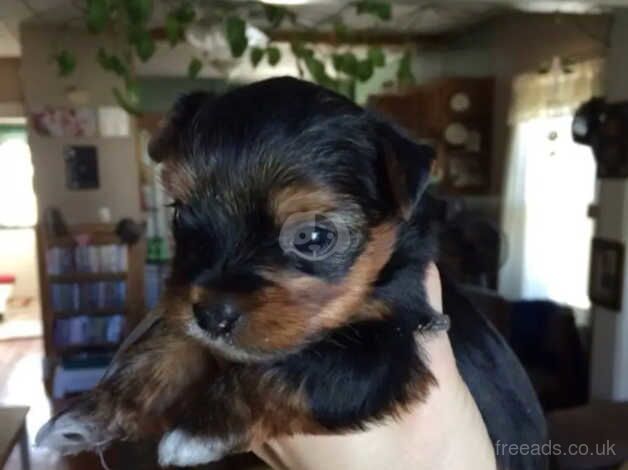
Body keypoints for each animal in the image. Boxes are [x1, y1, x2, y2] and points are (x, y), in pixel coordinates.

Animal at [36, 78, 544, 470]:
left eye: (313, 237)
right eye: (180, 214)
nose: (213, 316)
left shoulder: (397, 345)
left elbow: (301, 370)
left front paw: (201, 430)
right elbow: (166, 346)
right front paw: (92, 413)